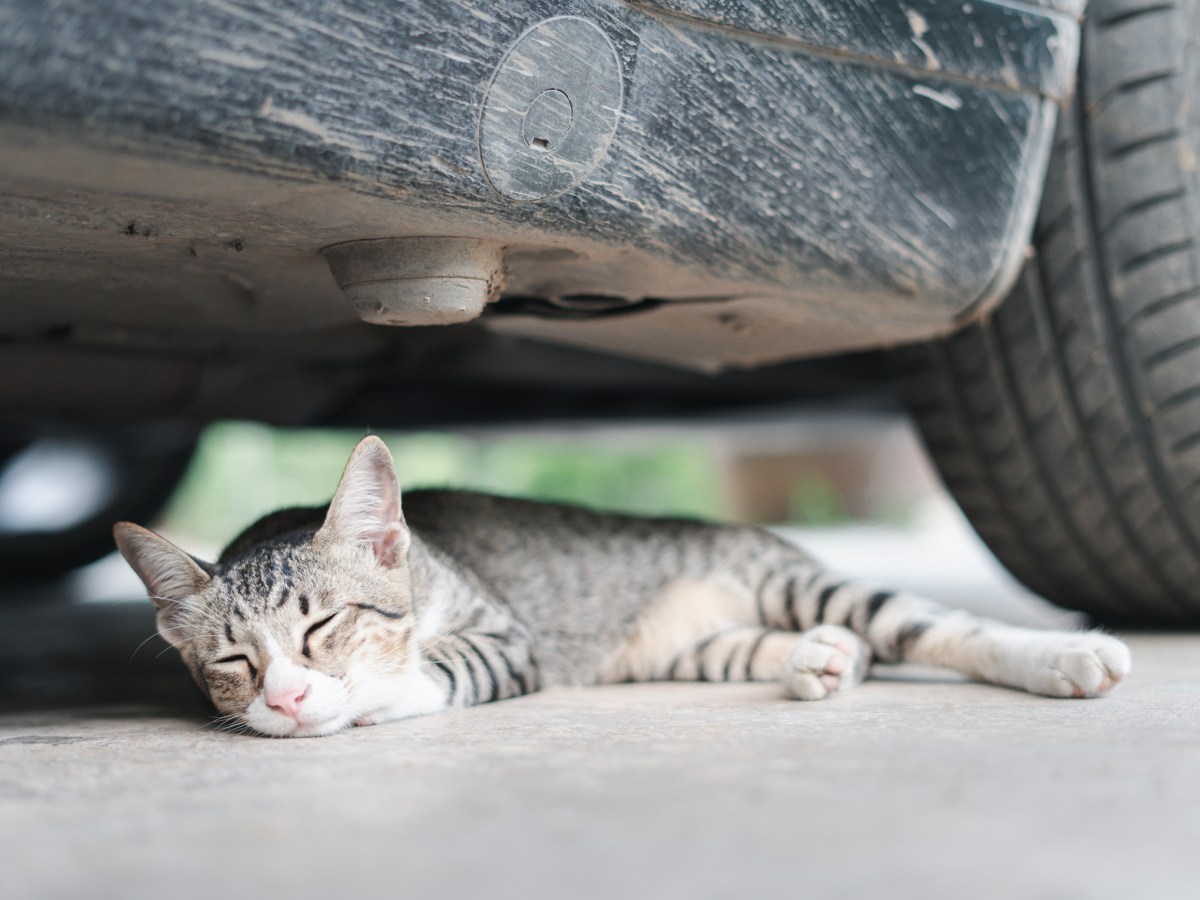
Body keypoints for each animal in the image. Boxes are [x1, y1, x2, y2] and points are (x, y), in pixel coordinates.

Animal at [114, 436, 1132, 739]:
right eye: (234, 662)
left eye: (323, 626)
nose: (286, 696)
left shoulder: (505, 637)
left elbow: (434, 670)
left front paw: (367, 694)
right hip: (702, 647)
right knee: (847, 649)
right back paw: (823, 662)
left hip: (800, 584)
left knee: (929, 625)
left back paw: (1067, 656)